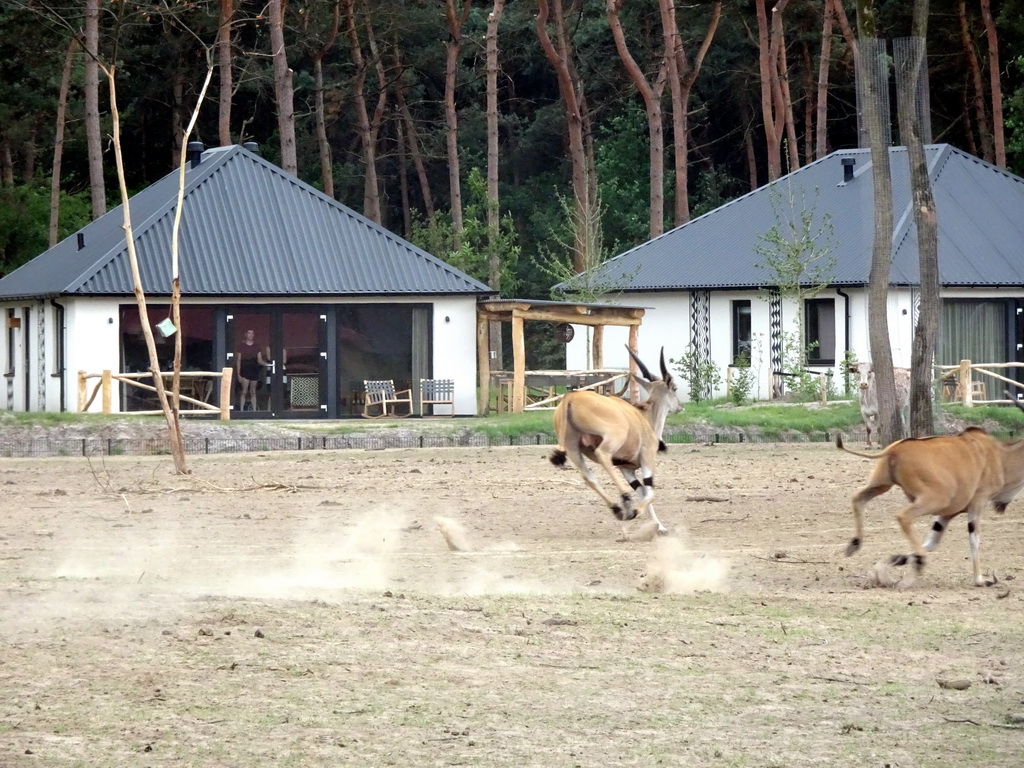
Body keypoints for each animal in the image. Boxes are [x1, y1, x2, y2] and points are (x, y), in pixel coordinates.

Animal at [552, 348, 679, 536]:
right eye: (675, 388)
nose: (680, 407)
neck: (643, 416)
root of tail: (571, 397)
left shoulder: (626, 469)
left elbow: (643, 491)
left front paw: (656, 525)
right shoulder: (647, 459)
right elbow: (650, 492)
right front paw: (649, 520)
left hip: (573, 450)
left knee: (588, 477)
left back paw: (617, 508)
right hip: (612, 439)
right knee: (602, 455)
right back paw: (625, 499)